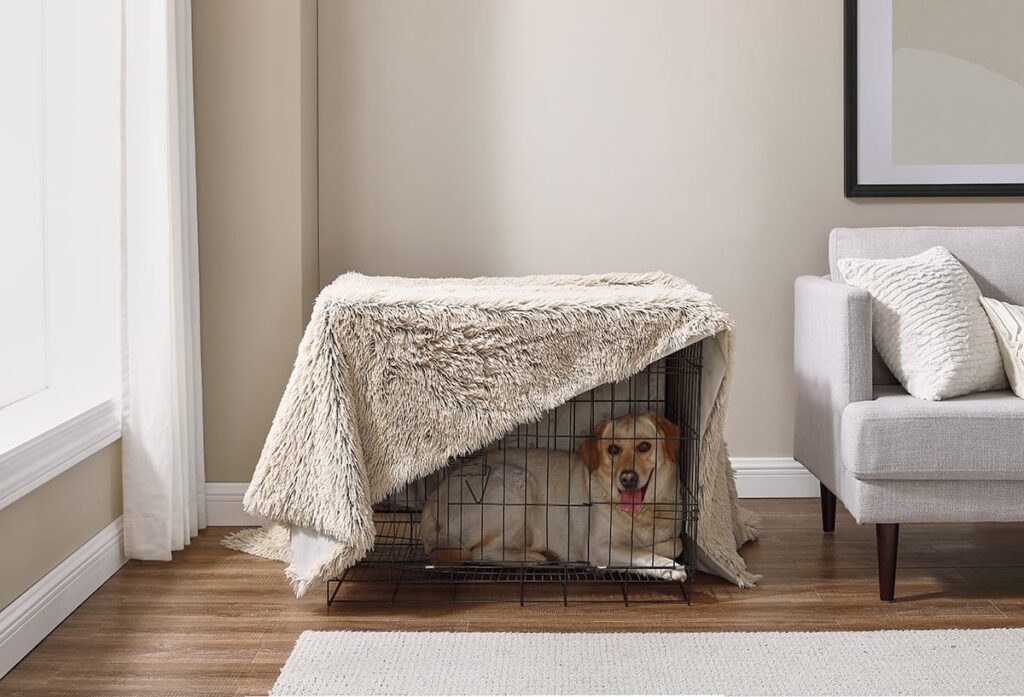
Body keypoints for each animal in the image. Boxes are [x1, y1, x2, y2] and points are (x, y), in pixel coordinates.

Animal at [419, 411, 692, 577]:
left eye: (644, 446)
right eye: (613, 449)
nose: (627, 478)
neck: (643, 512)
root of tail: (432, 498)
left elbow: (675, 542)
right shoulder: (598, 548)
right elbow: (642, 554)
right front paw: (669, 567)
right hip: (515, 484)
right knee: (479, 553)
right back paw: (533, 558)